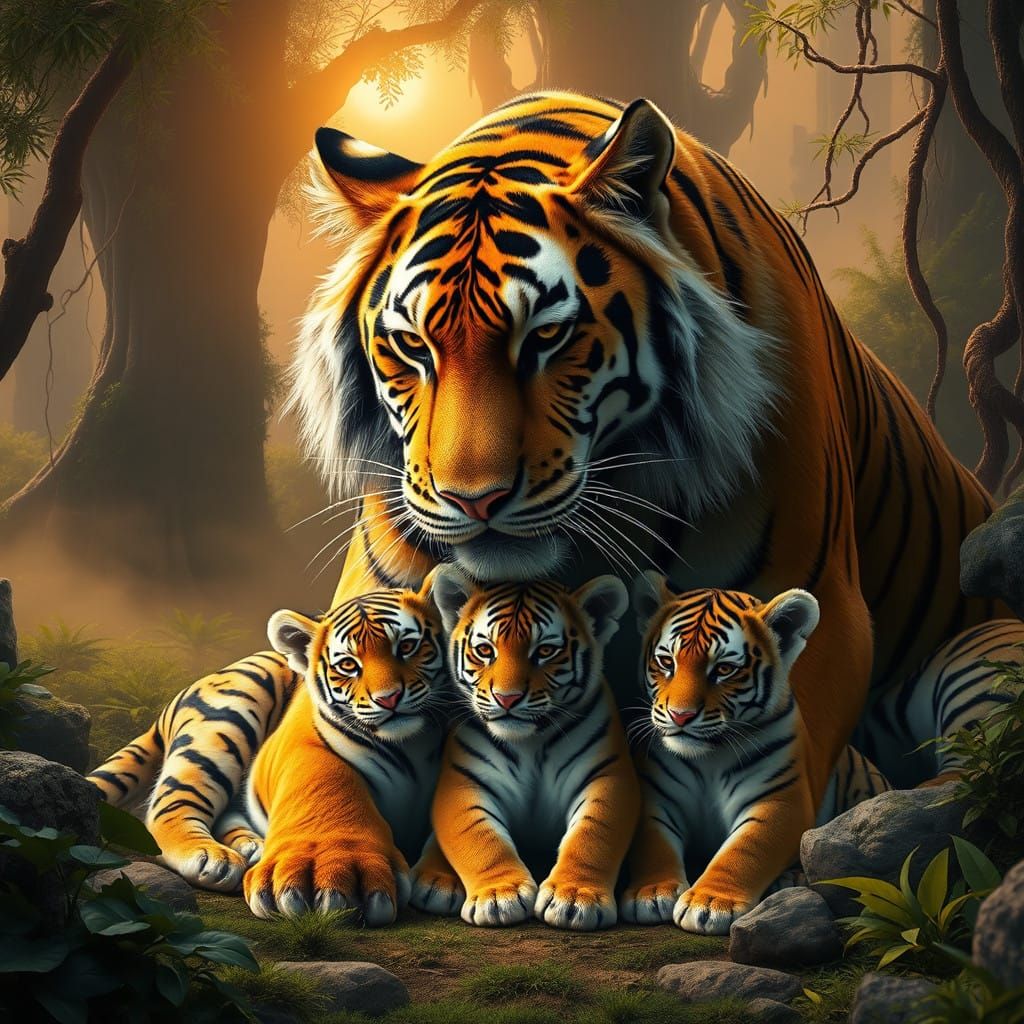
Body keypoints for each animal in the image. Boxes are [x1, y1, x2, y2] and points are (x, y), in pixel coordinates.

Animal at [416, 569, 639, 931]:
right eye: (485, 649)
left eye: (546, 651)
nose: (507, 698)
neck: (530, 743)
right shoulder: (463, 783)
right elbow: (480, 838)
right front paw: (499, 896)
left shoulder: (607, 777)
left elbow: (592, 835)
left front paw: (575, 898)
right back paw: (435, 882)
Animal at [621, 574, 891, 934]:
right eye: (667, 662)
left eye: (723, 669)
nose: (680, 716)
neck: (709, 756)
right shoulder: (656, 797)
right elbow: (653, 844)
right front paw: (651, 893)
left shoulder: (779, 802)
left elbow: (744, 850)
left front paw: (709, 903)